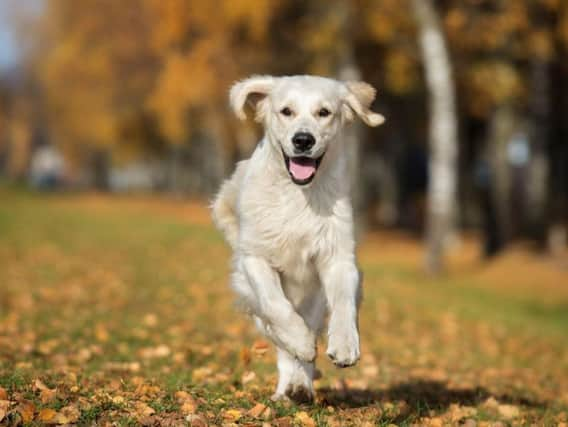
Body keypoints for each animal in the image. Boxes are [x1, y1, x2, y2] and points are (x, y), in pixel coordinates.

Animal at [213, 75, 386, 402]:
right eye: (286, 111)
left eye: (324, 112)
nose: (303, 140)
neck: (298, 194)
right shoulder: (254, 258)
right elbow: (276, 306)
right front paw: (300, 341)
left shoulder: (338, 256)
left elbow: (343, 302)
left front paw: (345, 345)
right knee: (275, 329)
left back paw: (300, 385)